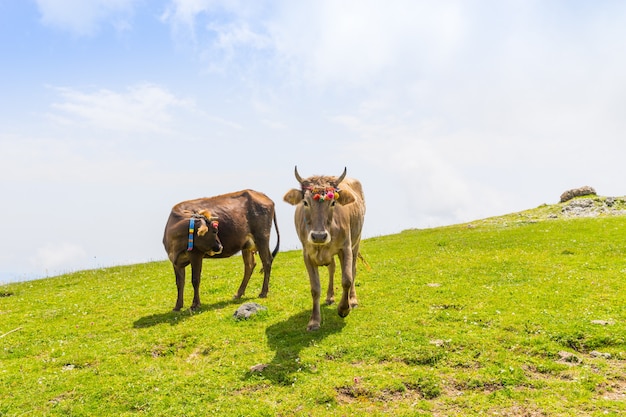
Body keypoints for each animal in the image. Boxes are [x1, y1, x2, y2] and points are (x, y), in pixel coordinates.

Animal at [282, 167, 364, 330]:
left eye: (333, 202)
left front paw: (344, 309)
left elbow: (347, 279)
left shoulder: (346, 248)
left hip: (356, 242)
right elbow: (315, 289)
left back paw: (352, 300)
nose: (319, 236)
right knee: (332, 268)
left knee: (353, 269)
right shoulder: (307, 255)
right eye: (305, 202)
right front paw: (314, 321)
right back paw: (330, 297)